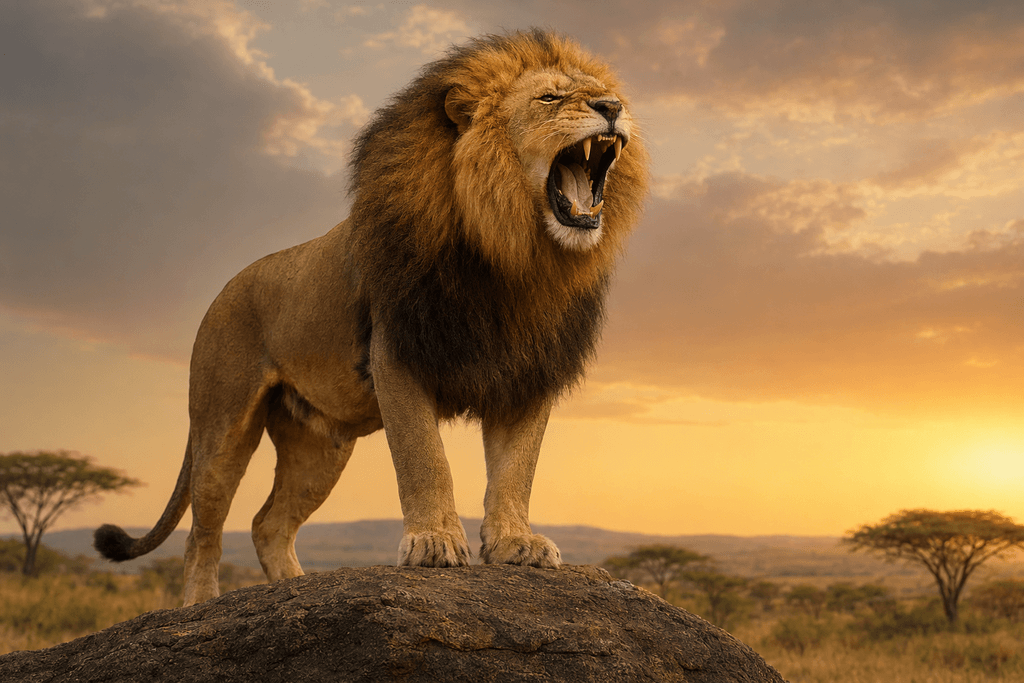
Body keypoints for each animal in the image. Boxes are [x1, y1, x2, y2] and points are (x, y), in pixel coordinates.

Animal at [94, 29, 648, 606]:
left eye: (604, 93)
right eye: (550, 98)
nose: (613, 107)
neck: (514, 255)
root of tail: (224, 289)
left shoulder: (528, 371)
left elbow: (517, 469)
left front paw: (517, 544)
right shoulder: (396, 353)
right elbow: (424, 456)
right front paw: (432, 543)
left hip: (319, 445)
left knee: (268, 525)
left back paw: (299, 593)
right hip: (222, 422)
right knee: (203, 529)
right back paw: (201, 605)